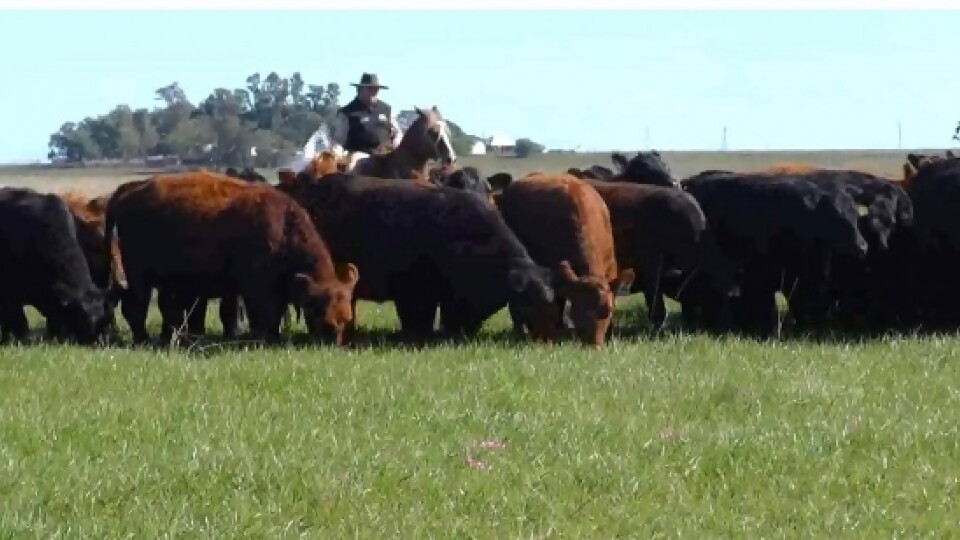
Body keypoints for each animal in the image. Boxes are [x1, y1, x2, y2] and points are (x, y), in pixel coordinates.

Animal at [105, 171, 360, 344]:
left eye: (347, 316)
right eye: (316, 309)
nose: (333, 339)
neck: (283, 228)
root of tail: (125, 192)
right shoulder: (257, 288)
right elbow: (264, 314)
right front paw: (266, 338)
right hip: (139, 277)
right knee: (136, 306)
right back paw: (143, 339)